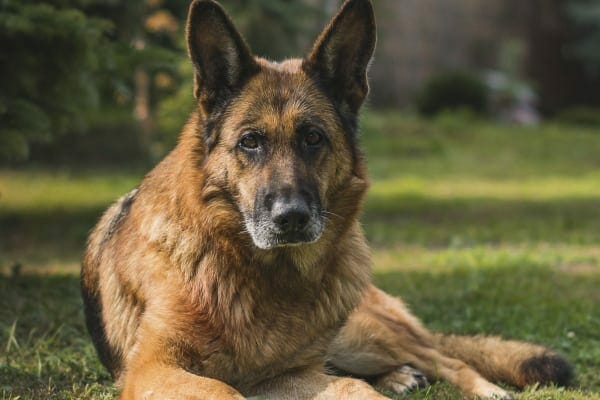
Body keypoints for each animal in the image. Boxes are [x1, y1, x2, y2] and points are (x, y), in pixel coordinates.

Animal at [79, 1, 572, 398]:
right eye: (250, 142)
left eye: (313, 138)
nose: (291, 218)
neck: (261, 277)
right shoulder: (155, 368)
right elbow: (222, 389)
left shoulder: (289, 373)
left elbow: (354, 388)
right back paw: (400, 376)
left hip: (358, 333)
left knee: (448, 358)